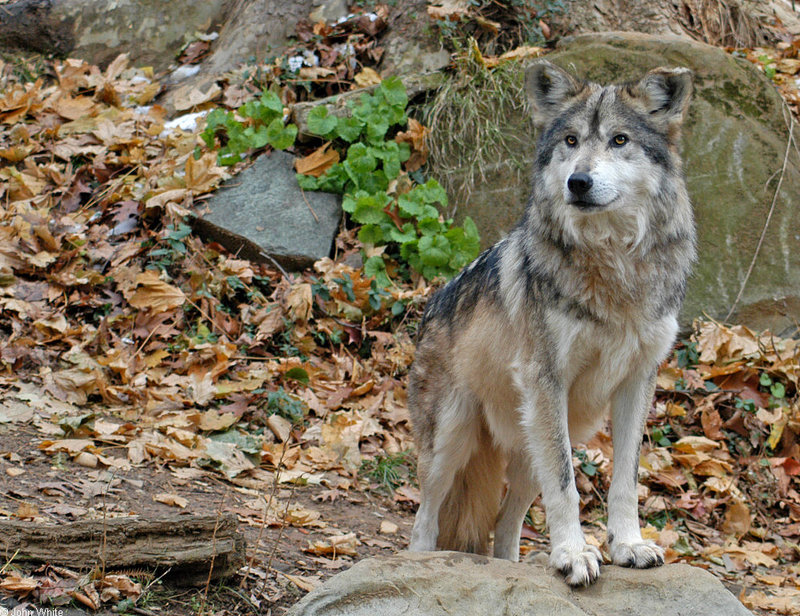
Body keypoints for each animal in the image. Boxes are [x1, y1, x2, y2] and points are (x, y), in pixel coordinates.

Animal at [406, 62, 692, 588]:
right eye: (571, 140)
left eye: (619, 140)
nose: (578, 182)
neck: (614, 265)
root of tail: (432, 304)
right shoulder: (547, 380)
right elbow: (568, 487)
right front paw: (575, 555)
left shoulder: (638, 382)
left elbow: (625, 480)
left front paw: (628, 546)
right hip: (453, 442)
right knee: (426, 519)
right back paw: (417, 564)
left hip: (532, 447)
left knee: (505, 524)